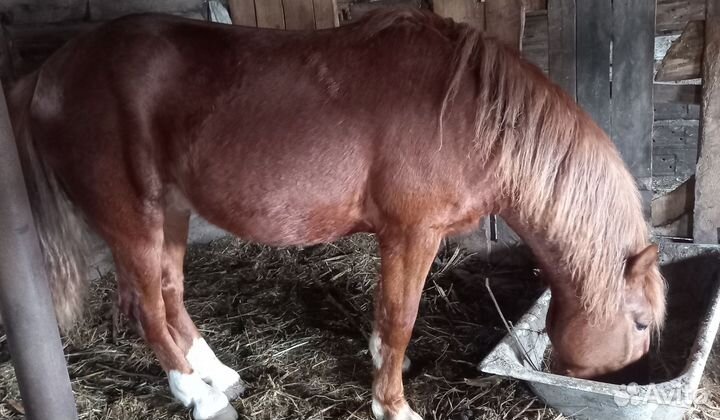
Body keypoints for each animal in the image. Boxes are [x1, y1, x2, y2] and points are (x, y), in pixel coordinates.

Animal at [6, 7, 666, 420]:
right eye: (638, 323)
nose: (625, 385)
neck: (471, 117)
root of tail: (48, 73)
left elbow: (385, 319)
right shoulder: (412, 235)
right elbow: (401, 319)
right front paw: (392, 404)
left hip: (171, 211)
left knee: (170, 295)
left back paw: (217, 375)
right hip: (133, 220)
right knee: (148, 308)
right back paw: (199, 396)